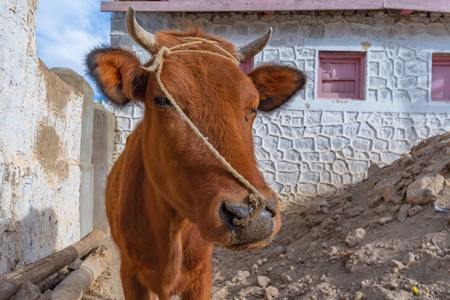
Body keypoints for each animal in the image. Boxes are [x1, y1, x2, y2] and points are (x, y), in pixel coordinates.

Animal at [86, 7, 306, 300]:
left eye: (253, 106)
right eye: (162, 99)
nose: (253, 215)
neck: (172, 229)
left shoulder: (202, 275)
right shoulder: (130, 274)